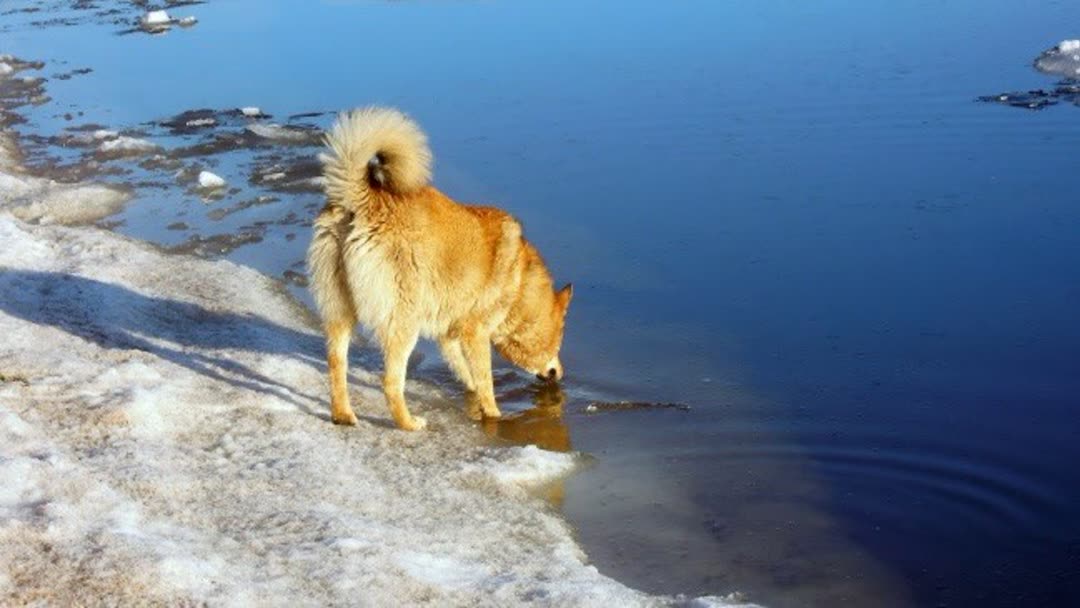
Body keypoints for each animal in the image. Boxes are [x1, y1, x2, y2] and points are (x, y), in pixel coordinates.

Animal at [306, 107, 574, 431]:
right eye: (559, 339)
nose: (560, 374)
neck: (520, 284)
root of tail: (364, 198)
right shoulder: (476, 332)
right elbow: (485, 381)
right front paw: (495, 415)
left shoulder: (450, 334)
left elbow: (467, 373)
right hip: (403, 321)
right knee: (390, 382)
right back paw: (409, 423)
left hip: (339, 310)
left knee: (336, 364)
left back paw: (343, 414)